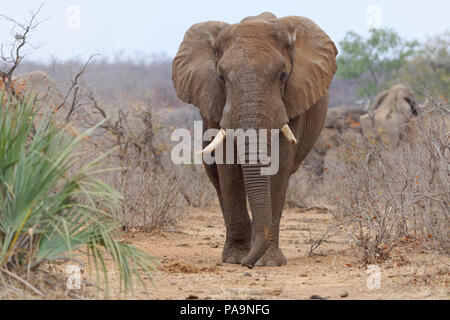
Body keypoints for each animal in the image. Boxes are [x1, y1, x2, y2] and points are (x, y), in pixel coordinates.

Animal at [172, 11, 338, 268]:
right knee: (216, 178)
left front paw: (268, 262)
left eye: (283, 75)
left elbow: (279, 163)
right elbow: (228, 163)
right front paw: (235, 258)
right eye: (221, 77)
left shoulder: (293, 101)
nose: (247, 265)